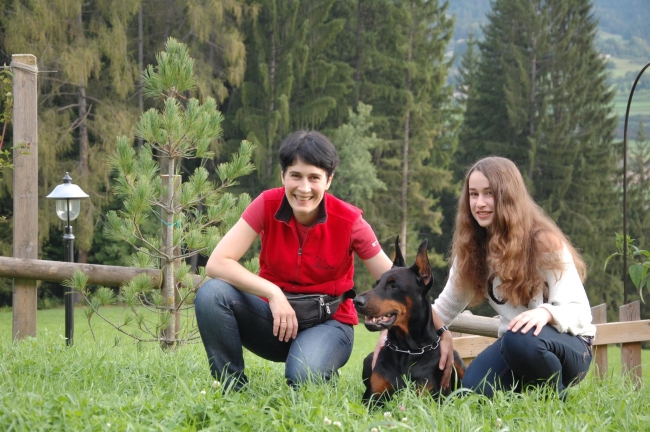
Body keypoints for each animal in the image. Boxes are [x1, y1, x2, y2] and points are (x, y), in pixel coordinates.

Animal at [353, 238, 465, 405]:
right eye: (377, 283)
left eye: (394, 285)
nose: (356, 301)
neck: (407, 350)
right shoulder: (373, 396)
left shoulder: (425, 397)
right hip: (369, 358)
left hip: (456, 358)